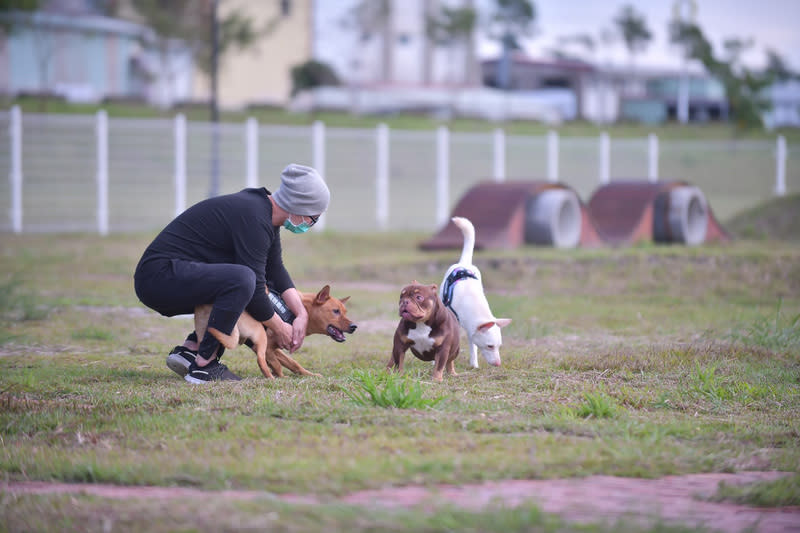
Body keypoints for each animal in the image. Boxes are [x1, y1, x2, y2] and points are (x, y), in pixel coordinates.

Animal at [194, 282, 356, 378]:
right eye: (335, 311)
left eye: (345, 311)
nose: (354, 327)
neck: (296, 311)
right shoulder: (267, 348)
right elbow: (277, 364)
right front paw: (281, 378)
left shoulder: (275, 348)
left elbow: (293, 363)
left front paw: (308, 374)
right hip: (259, 334)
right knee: (260, 361)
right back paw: (270, 378)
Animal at [438, 215, 512, 366]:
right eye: (490, 346)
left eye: (499, 346)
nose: (498, 364)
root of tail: (464, 263)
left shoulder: (471, 331)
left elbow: (473, 347)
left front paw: (474, 364)